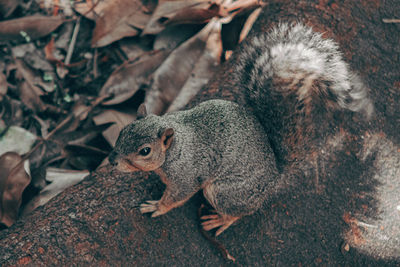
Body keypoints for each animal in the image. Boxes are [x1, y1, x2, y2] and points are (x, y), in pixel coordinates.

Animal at [108, 100, 280, 237]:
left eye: (145, 151)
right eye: (123, 131)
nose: (111, 160)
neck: (175, 148)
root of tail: (275, 178)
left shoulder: (185, 176)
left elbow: (176, 196)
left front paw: (157, 206)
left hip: (225, 193)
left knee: (237, 213)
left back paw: (218, 220)